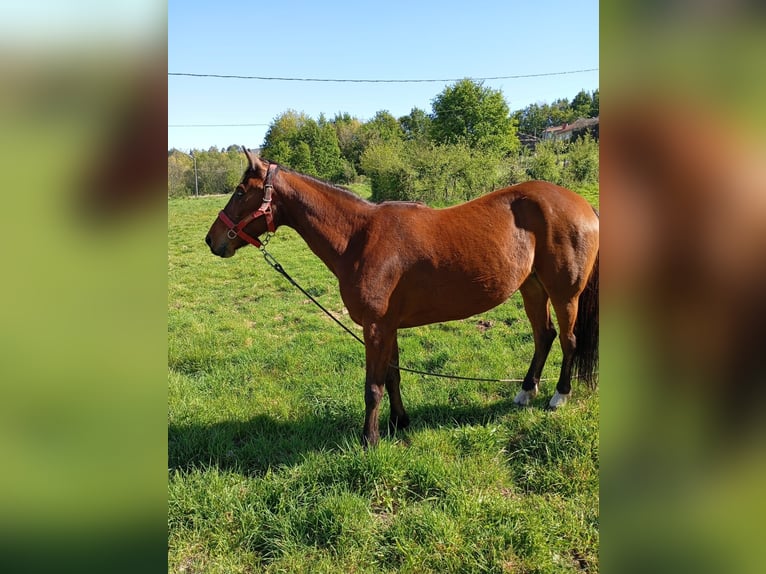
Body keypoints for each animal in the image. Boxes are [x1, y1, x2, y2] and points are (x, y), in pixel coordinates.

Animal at [205, 148, 599, 447]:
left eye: (240, 191)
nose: (212, 240)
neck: (359, 237)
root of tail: (583, 205)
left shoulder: (375, 328)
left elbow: (373, 386)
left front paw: (369, 439)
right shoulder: (389, 326)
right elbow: (392, 376)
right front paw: (399, 422)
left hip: (564, 294)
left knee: (568, 340)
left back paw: (559, 396)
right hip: (532, 288)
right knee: (544, 337)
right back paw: (526, 392)